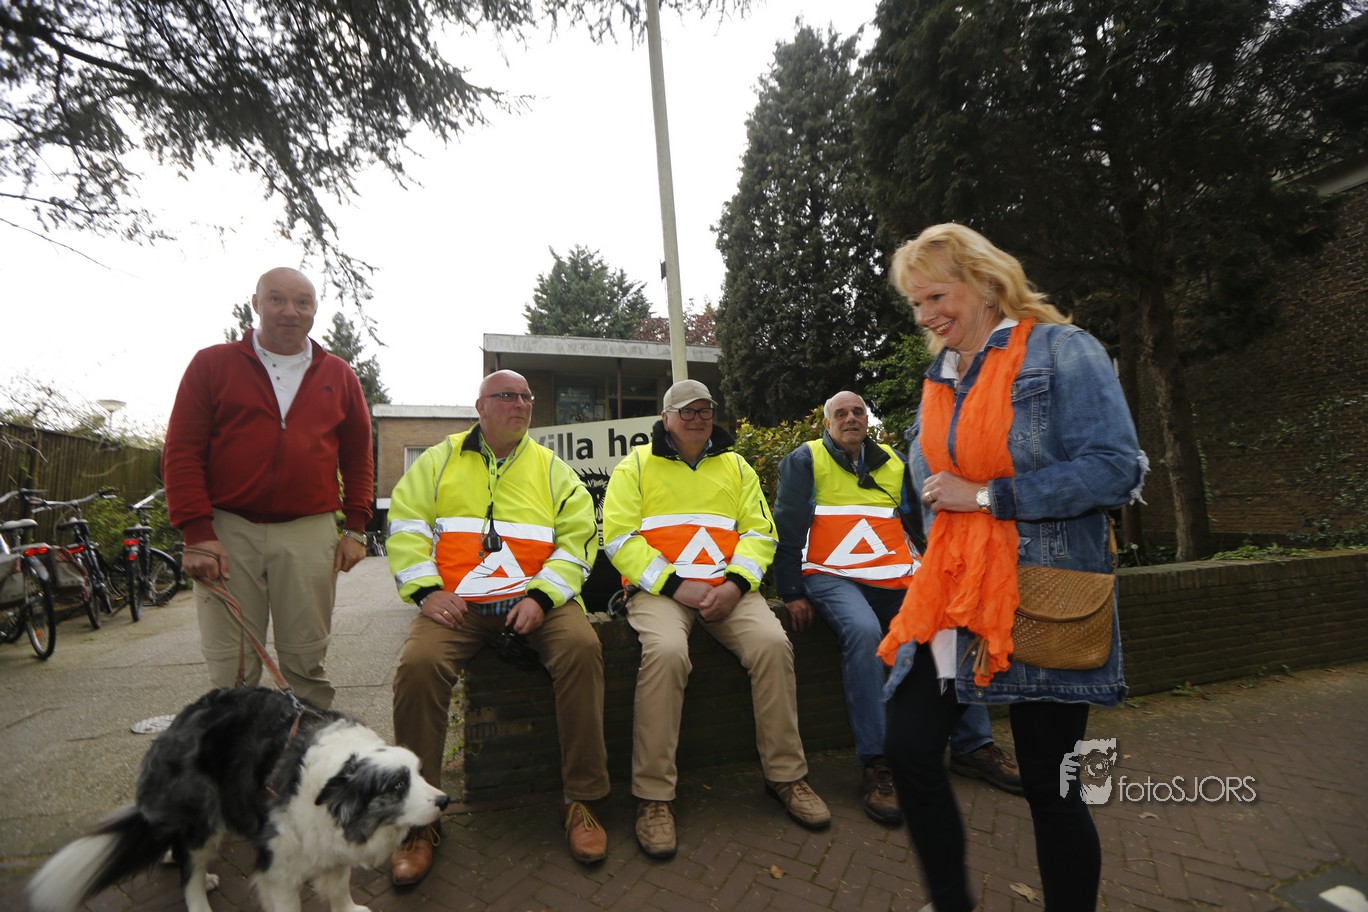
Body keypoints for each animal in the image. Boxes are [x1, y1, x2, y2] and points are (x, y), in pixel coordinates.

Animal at [27, 687, 449, 912]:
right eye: (397, 786)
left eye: (420, 772)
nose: (444, 800)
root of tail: (176, 722)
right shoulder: (278, 871)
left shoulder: (332, 844)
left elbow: (340, 882)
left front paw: (348, 908)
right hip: (204, 816)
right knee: (189, 869)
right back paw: (198, 898)